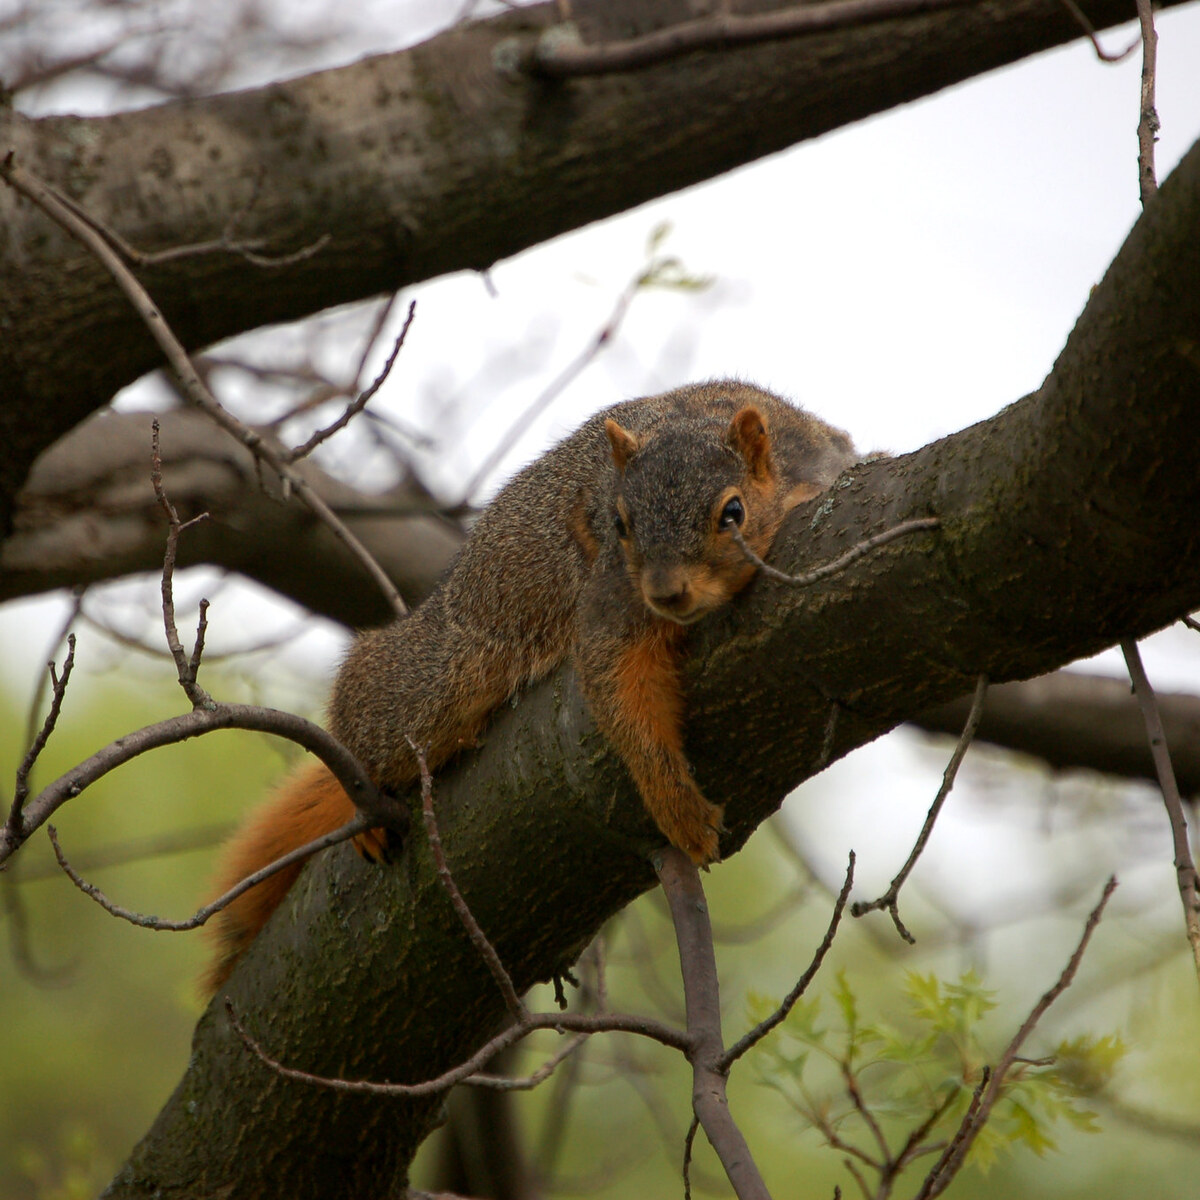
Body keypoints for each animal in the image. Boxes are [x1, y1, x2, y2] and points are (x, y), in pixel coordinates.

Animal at [204, 380, 858, 992]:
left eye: (733, 513)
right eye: (619, 523)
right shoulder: (611, 597)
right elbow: (617, 686)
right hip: (440, 677)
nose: (666, 592)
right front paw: (679, 810)